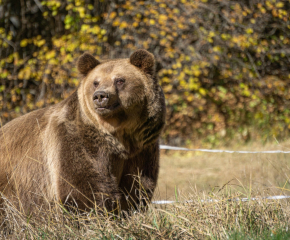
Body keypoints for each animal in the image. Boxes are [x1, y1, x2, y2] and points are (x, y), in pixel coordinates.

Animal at [0, 49, 165, 214]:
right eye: (95, 82)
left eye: (120, 80)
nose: (100, 96)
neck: (118, 137)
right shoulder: (77, 141)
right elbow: (83, 188)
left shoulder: (141, 148)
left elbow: (137, 186)